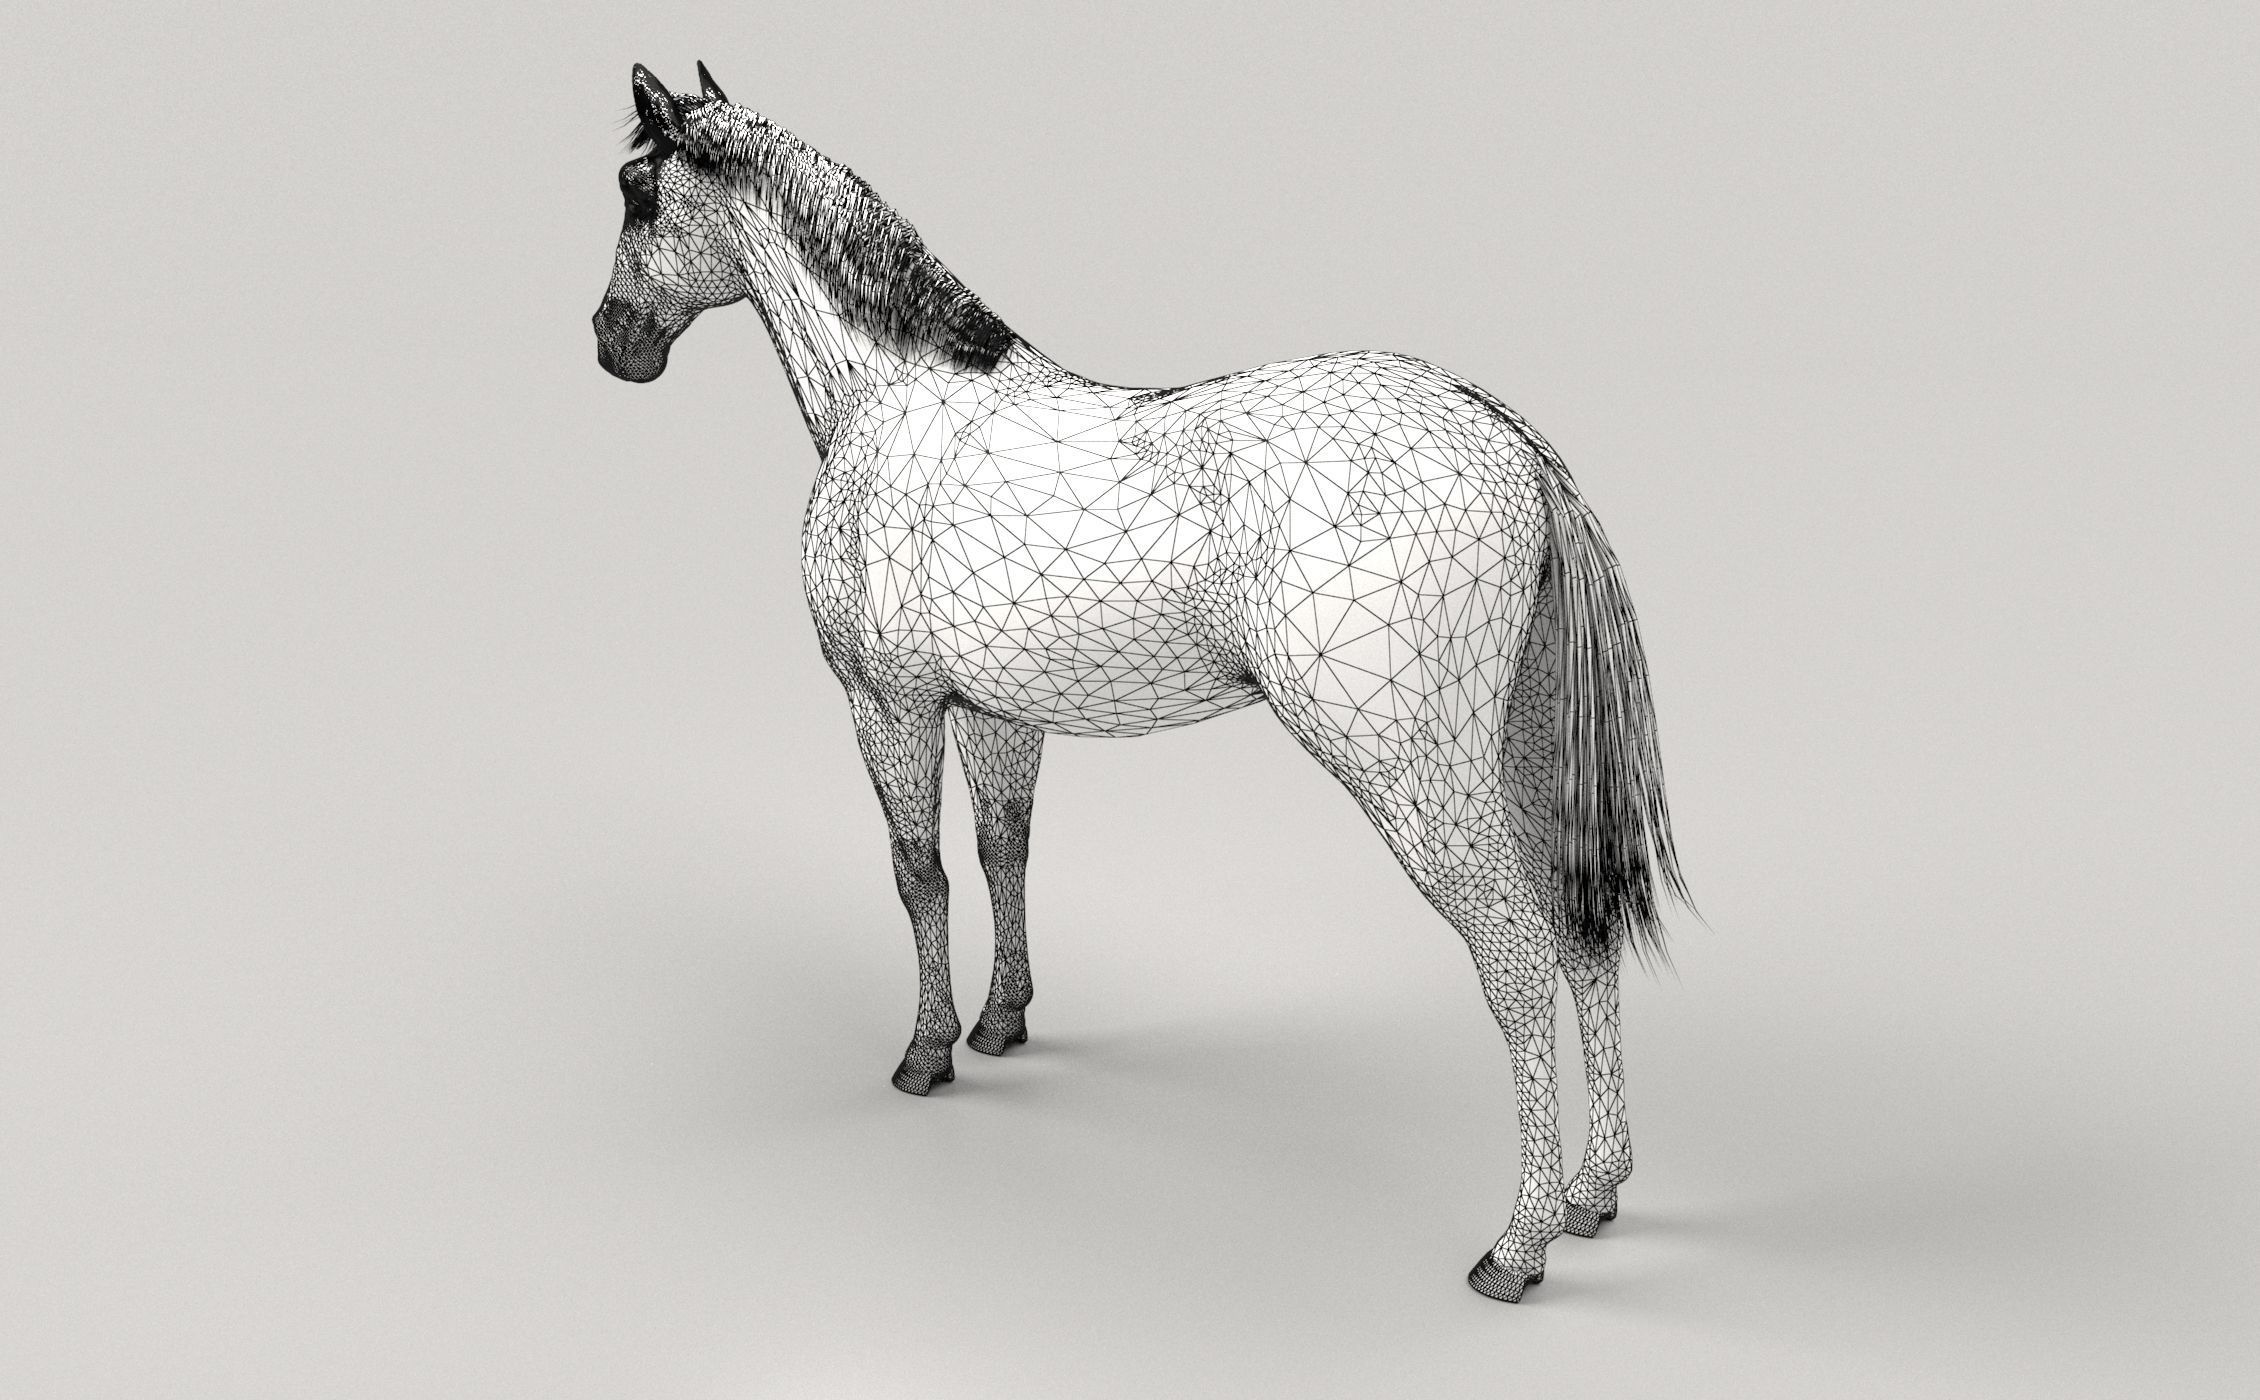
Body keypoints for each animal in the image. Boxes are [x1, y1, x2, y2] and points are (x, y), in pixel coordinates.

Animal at [591, 62, 1689, 1304]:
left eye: (635, 192)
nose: (611, 342)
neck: (898, 406)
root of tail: (1508, 441)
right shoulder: (997, 712)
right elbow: (1002, 850)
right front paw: (1000, 1022)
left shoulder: (888, 703)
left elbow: (918, 874)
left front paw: (924, 1053)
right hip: (1522, 756)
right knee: (1582, 934)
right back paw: (1594, 1191)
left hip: (1415, 773)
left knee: (1516, 954)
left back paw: (1517, 1242)